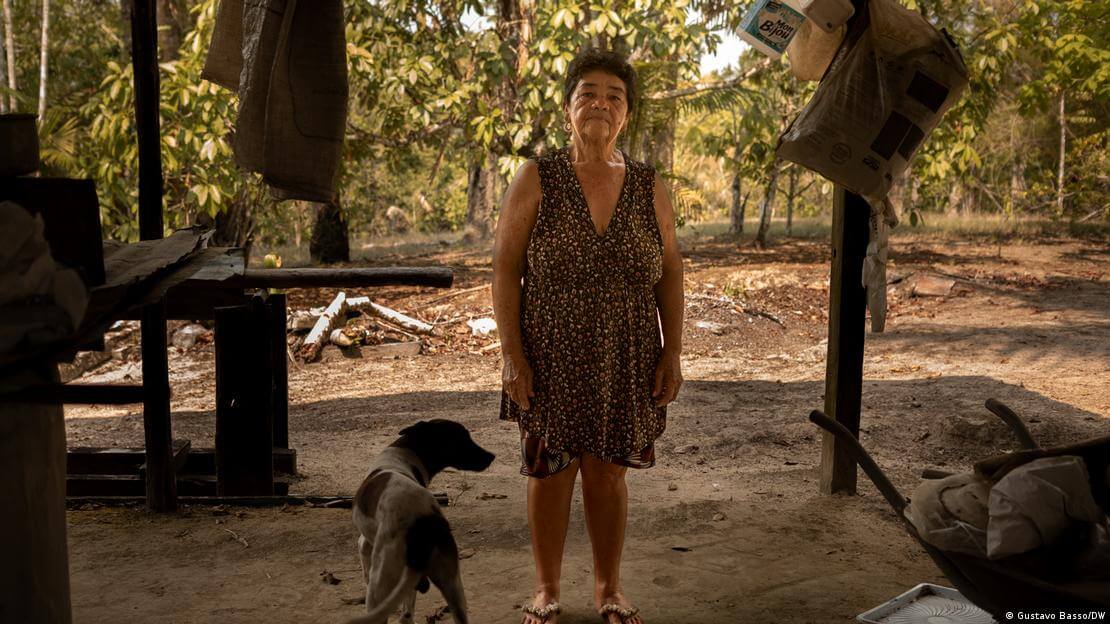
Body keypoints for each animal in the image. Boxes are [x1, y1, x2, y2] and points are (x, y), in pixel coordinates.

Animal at [348, 417, 497, 621]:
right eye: (461, 438)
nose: (492, 456)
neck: (405, 452)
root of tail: (424, 522)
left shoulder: (364, 543)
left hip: (381, 584)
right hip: (452, 585)